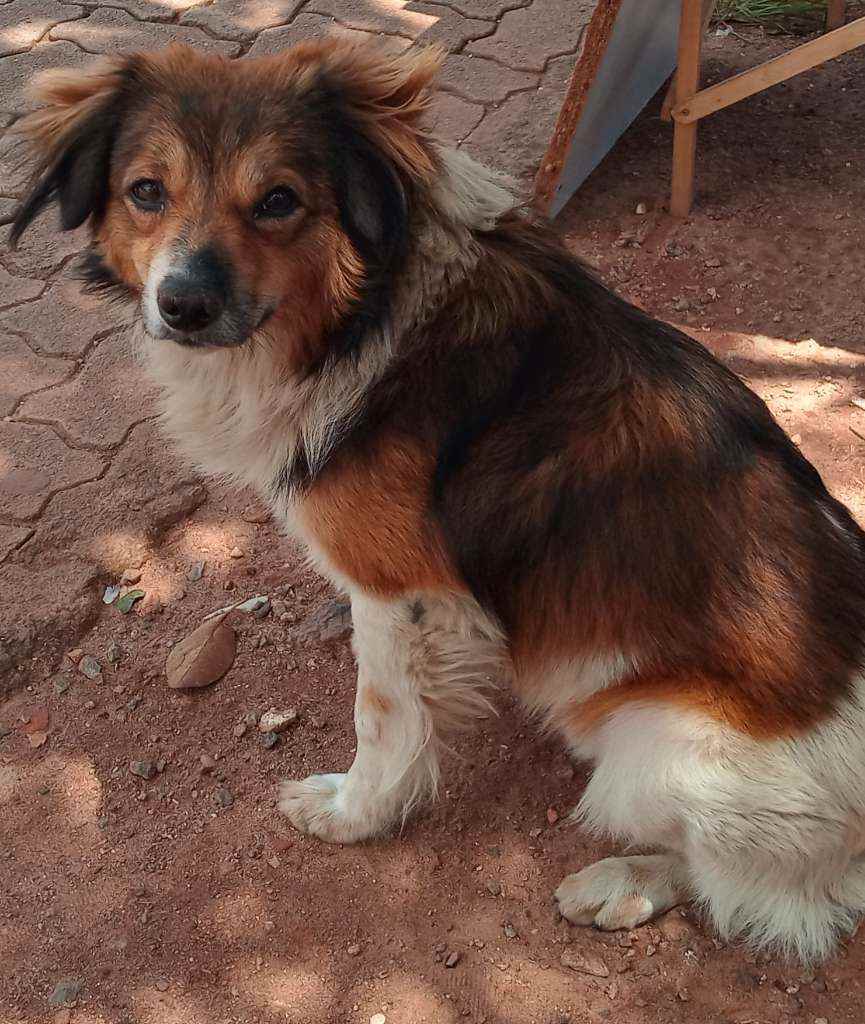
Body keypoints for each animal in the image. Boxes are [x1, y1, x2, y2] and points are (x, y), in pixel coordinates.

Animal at [11, 39, 865, 964]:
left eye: (278, 201)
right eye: (146, 192)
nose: (183, 304)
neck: (361, 318)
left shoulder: (404, 594)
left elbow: (382, 720)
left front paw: (353, 814)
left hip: (658, 753)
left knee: (771, 887)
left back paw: (622, 882)